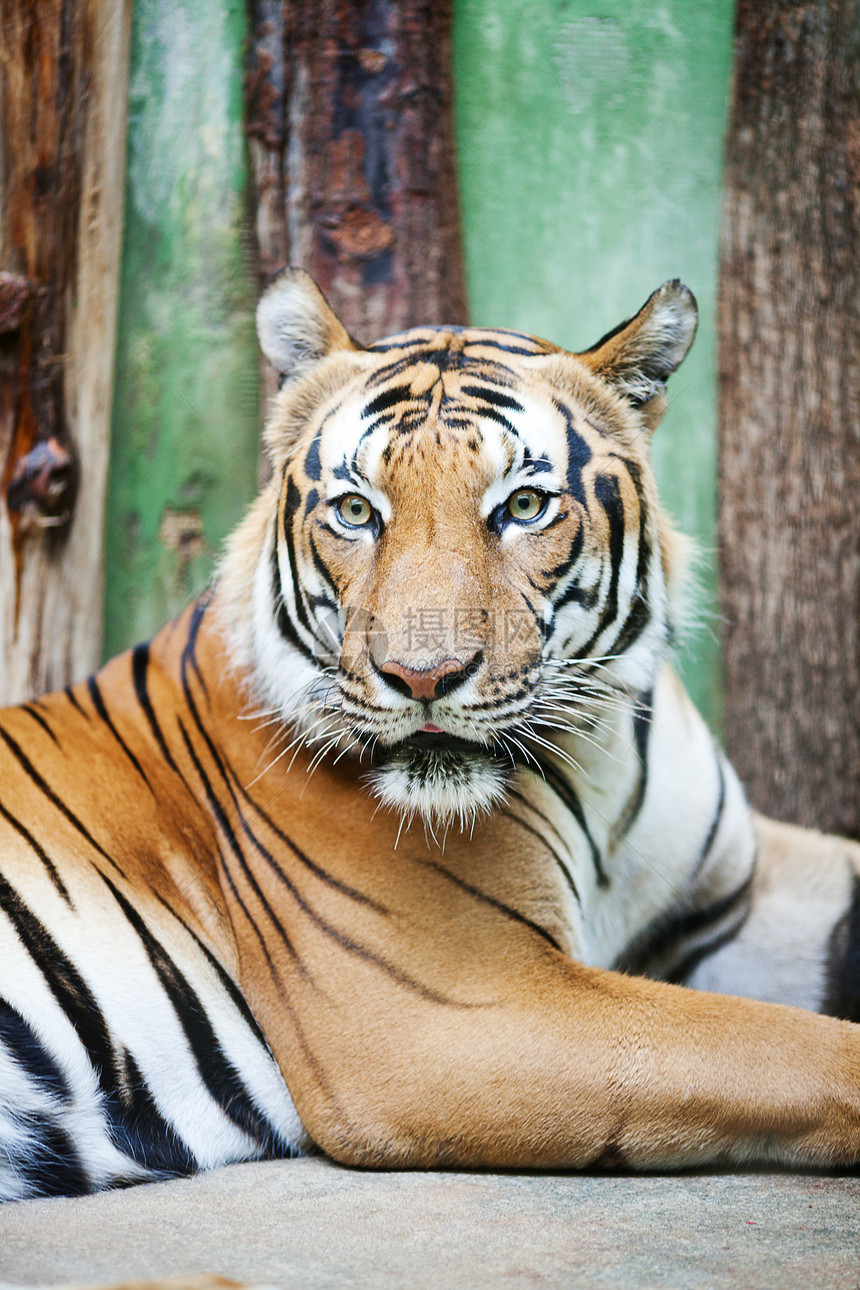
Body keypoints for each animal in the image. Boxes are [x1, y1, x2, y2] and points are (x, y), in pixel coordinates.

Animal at [1, 267, 860, 1202]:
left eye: (524, 505)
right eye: (355, 510)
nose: (421, 676)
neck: (599, 764)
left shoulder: (738, 898)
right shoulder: (454, 1008)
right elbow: (787, 1045)